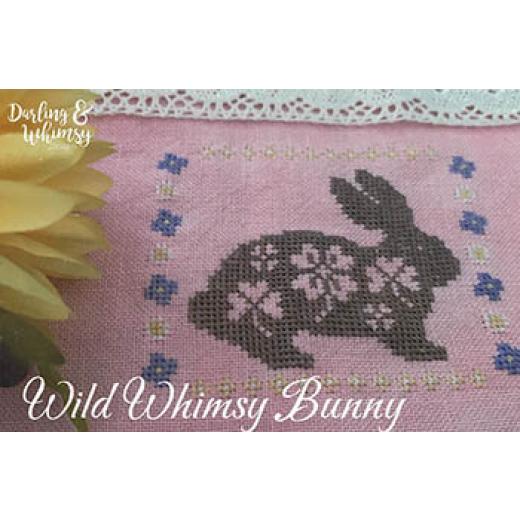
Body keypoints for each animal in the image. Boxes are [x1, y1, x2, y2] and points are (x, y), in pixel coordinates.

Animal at [189, 170, 461, 370]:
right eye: (423, 247)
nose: (455, 266)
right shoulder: (391, 319)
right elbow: (406, 344)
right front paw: (431, 353)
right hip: (269, 310)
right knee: (260, 340)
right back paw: (298, 360)